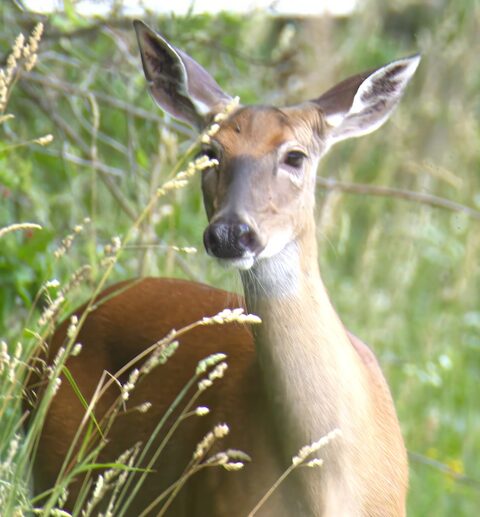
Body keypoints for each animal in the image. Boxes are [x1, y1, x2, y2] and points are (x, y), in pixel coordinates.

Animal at [30, 20, 420, 516]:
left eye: (295, 156)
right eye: (210, 151)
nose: (231, 233)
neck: (325, 477)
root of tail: (56, 333)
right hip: (52, 472)